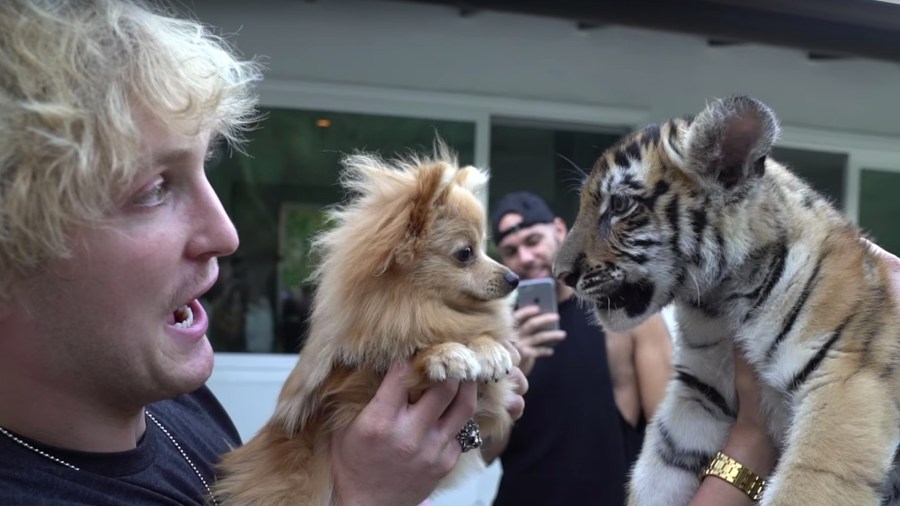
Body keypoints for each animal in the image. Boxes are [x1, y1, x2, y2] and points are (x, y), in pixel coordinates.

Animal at [213, 144, 520, 504]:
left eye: (485, 248)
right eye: (466, 253)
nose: (514, 278)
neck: (415, 306)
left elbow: (483, 344)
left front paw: (488, 349)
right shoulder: (353, 385)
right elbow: (407, 355)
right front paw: (444, 353)